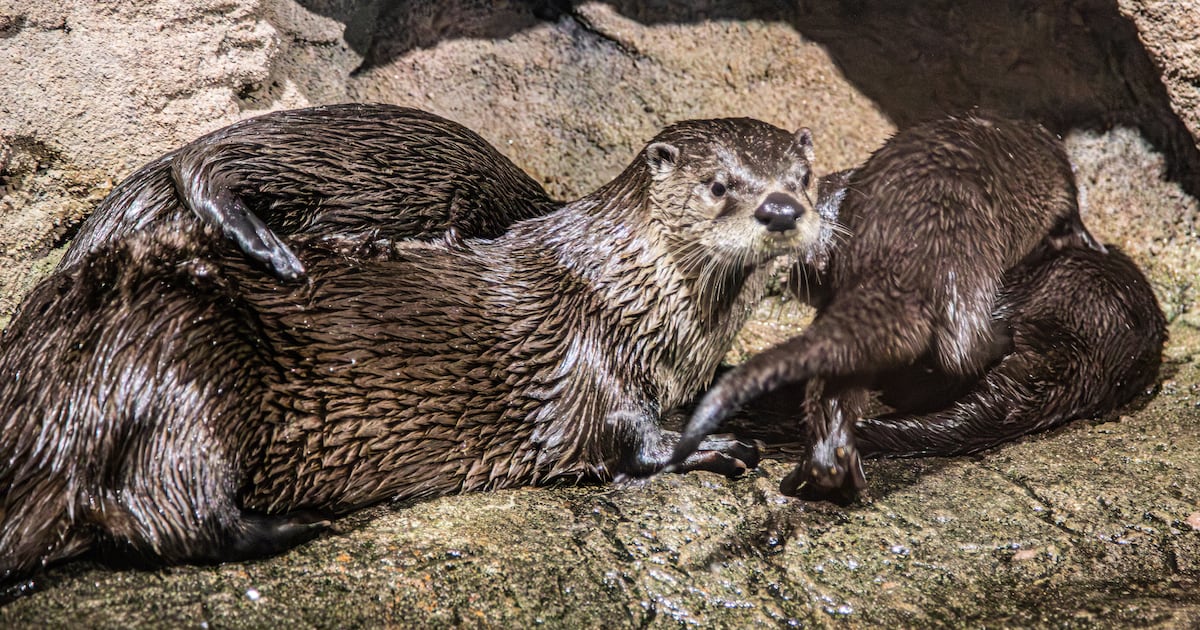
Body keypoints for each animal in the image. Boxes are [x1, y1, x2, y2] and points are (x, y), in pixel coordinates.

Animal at [668, 112, 1107, 497]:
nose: (805, 266)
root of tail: (895, 251)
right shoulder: (1061, 184)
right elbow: (1073, 216)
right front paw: (1089, 242)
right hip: (968, 245)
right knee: (961, 344)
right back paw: (1001, 339)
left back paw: (828, 465)